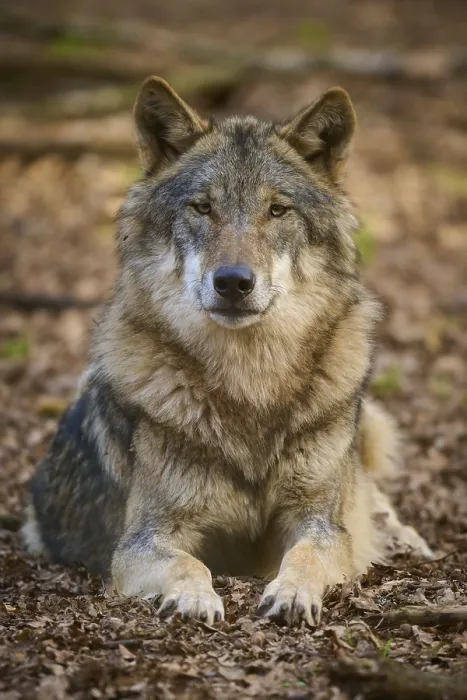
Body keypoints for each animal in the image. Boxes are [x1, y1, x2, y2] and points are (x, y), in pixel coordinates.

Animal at [23, 77, 432, 625]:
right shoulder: (144, 539)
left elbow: (309, 552)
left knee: (371, 494)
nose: (234, 282)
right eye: (203, 207)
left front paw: (292, 594)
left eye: (277, 210)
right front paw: (195, 598)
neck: (250, 382)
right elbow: (189, 563)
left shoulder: (317, 519)